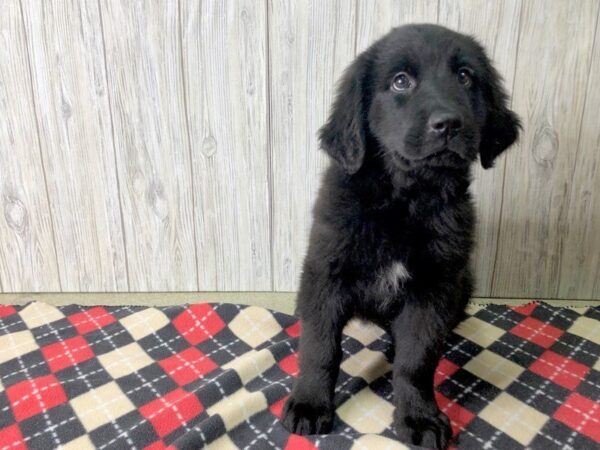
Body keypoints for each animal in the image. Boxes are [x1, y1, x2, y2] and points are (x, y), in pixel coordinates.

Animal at [282, 24, 520, 450]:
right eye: (400, 81)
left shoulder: (434, 288)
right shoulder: (325, 273)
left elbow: (417, 361)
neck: (404, 201)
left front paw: (418, 416)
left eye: (465, 77)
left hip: (463, 284)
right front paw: (310, 404)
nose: (449, 124)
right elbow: (320, 347)